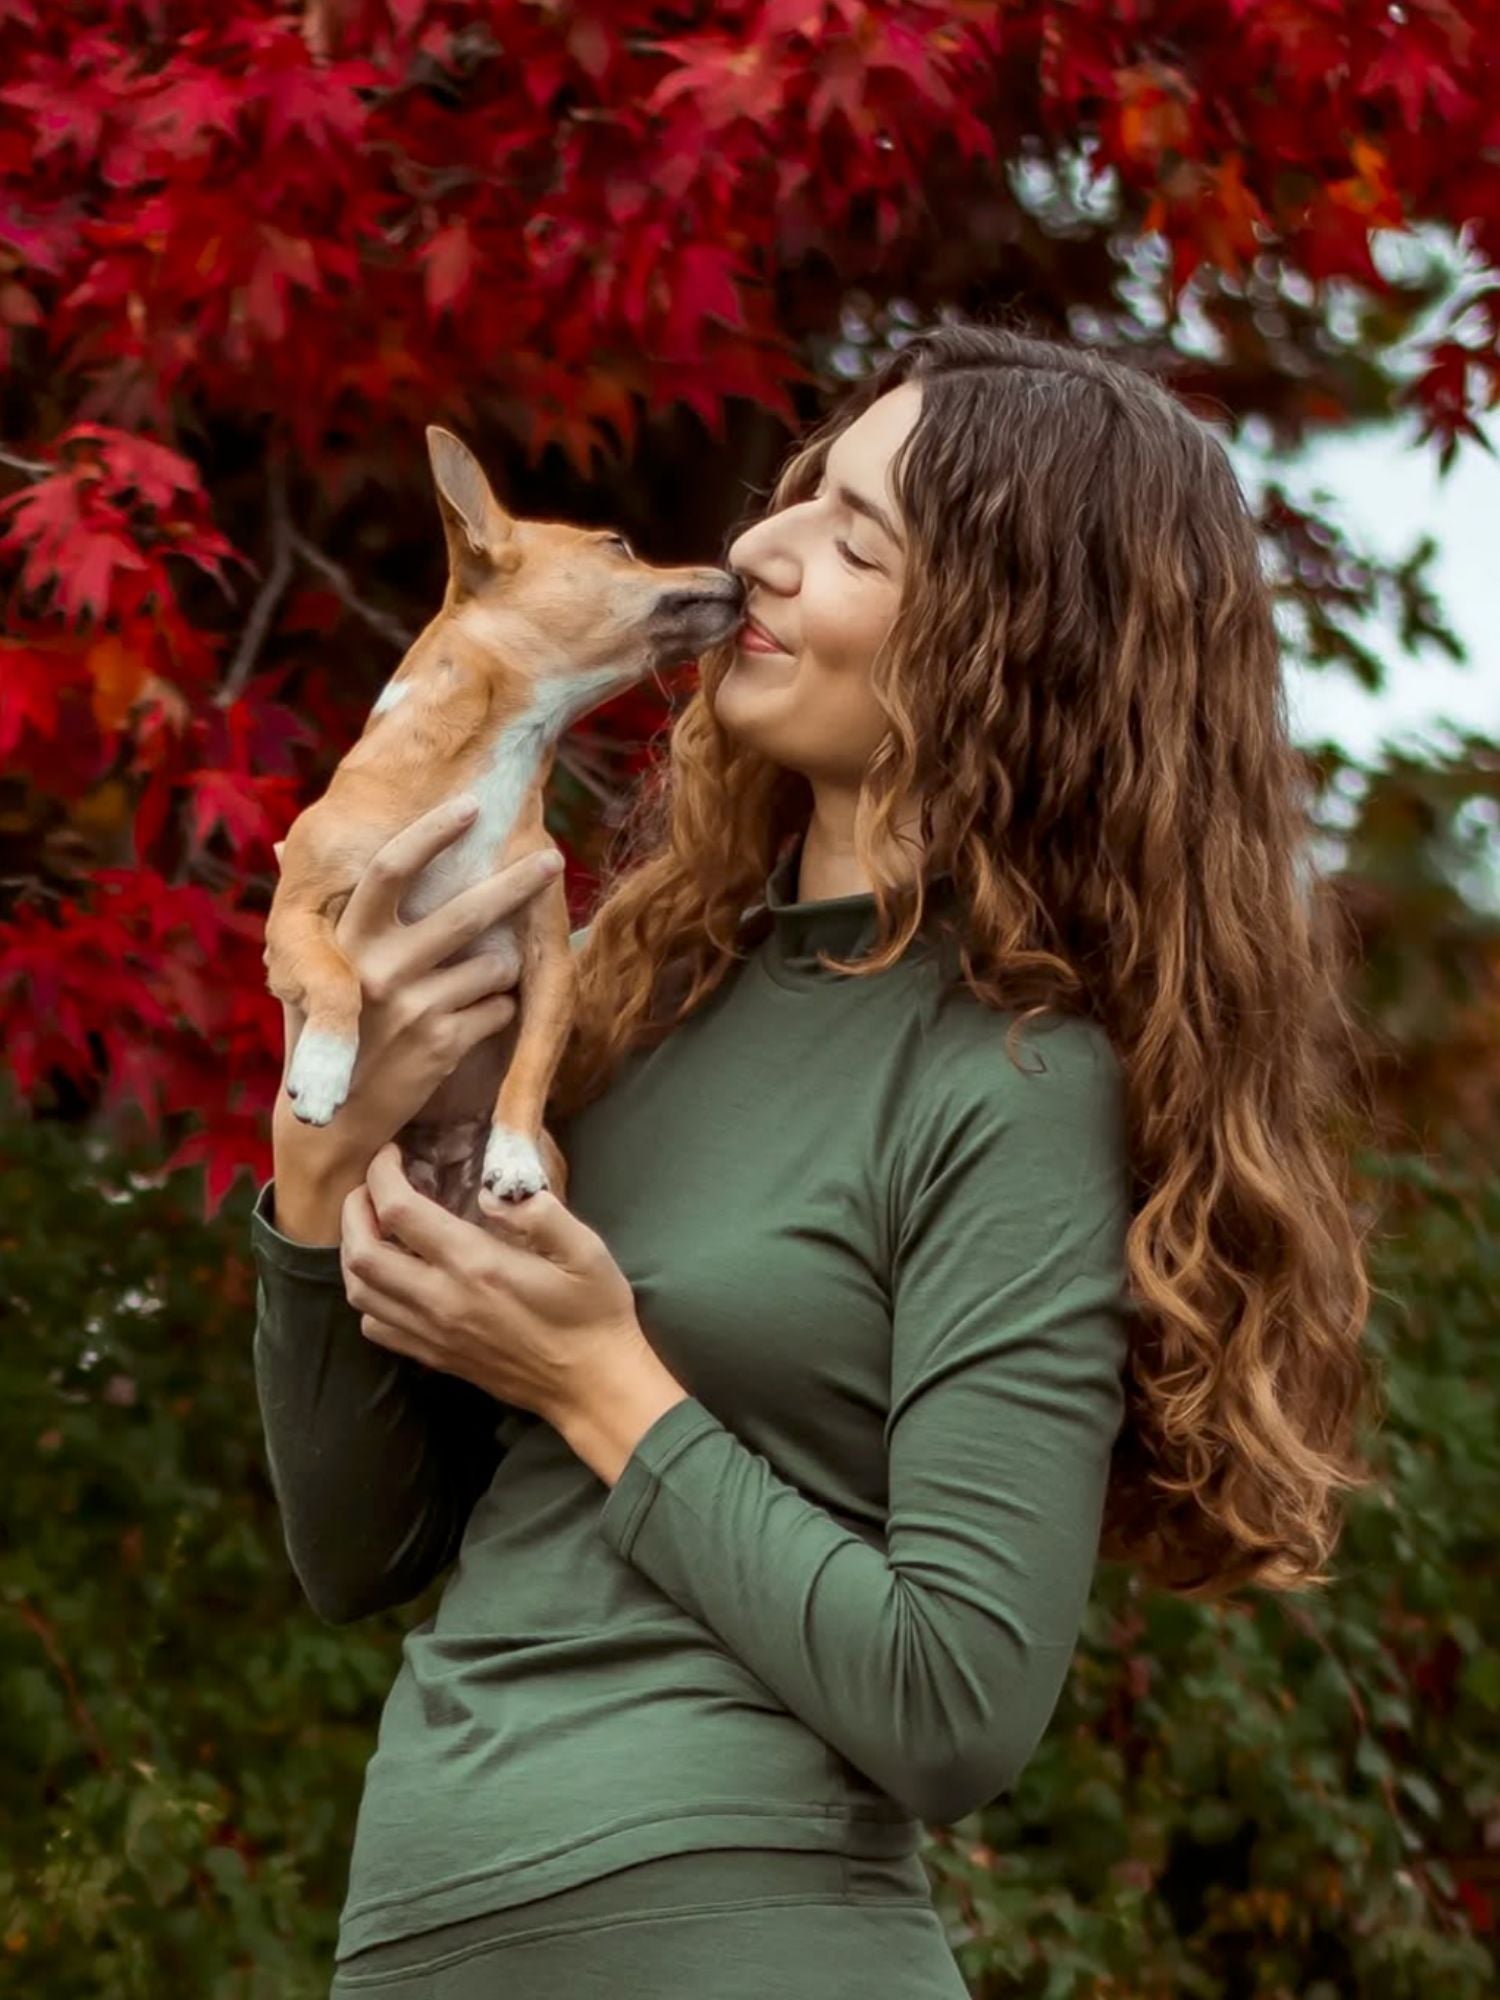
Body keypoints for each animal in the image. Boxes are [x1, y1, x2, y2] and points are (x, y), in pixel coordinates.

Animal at [268, 426, 748, 1216]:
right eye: (618, 545)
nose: (736, 573)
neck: (503, 757)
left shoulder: (550, 963)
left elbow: (529, 1071)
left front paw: (514, 1155)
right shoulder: (295, 915)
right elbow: (336, 972)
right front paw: (324, 1068)